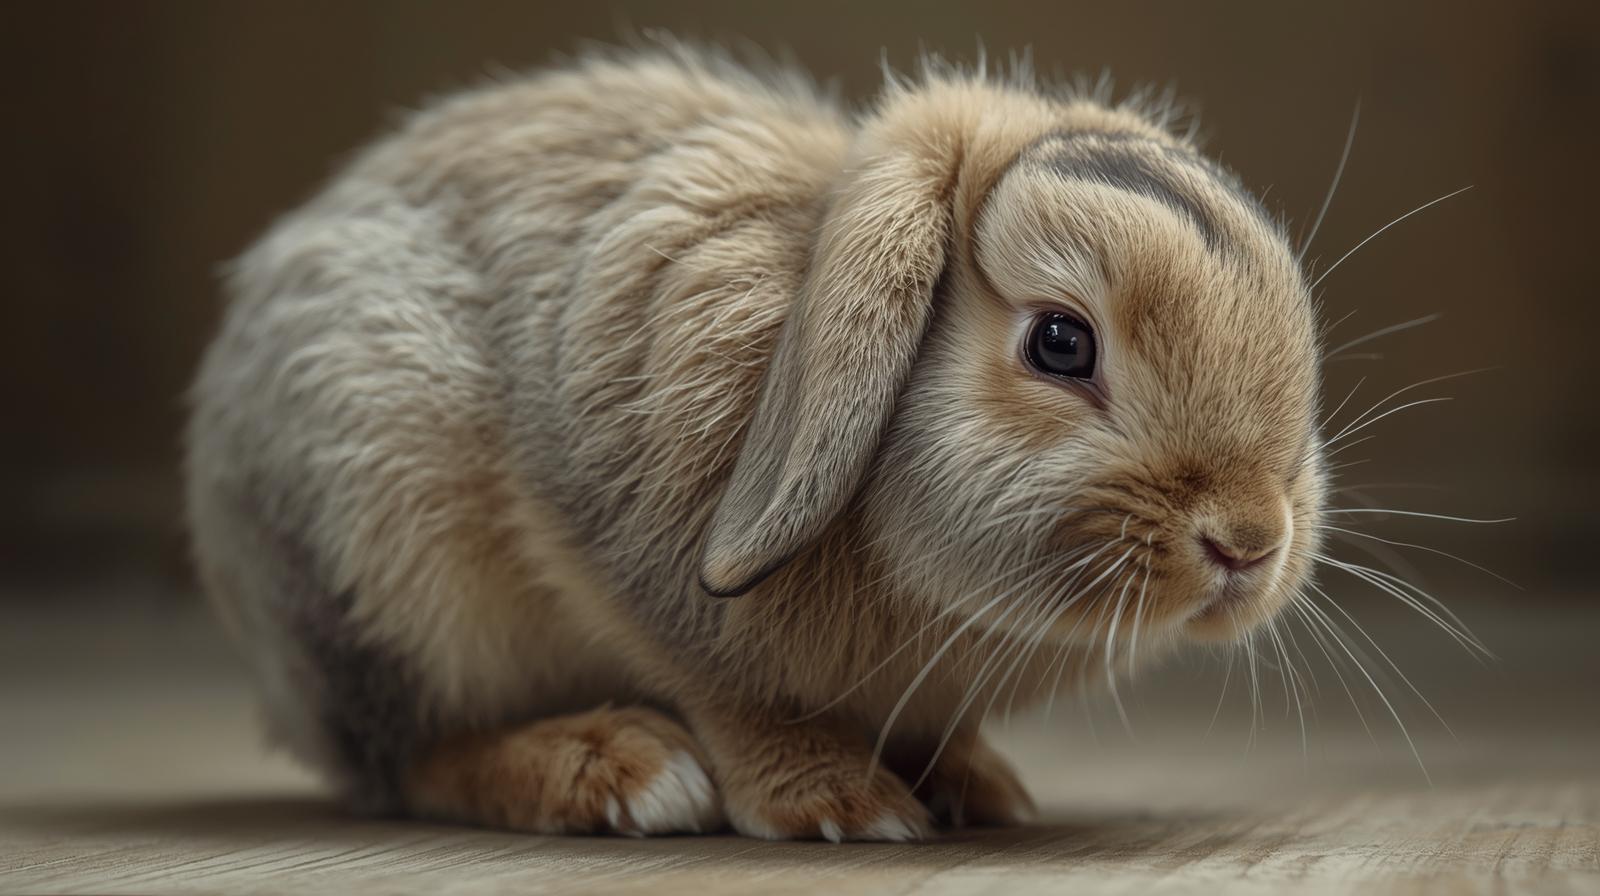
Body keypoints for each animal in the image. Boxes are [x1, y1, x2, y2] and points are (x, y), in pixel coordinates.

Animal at [185, 45, 1325, 841]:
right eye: (1060, 342)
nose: (1249, 539)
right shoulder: (612, 556)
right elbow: (726, 691)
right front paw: (840, 803)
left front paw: (977, 784)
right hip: (379, 565)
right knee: (407, 755)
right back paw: (615, 770)